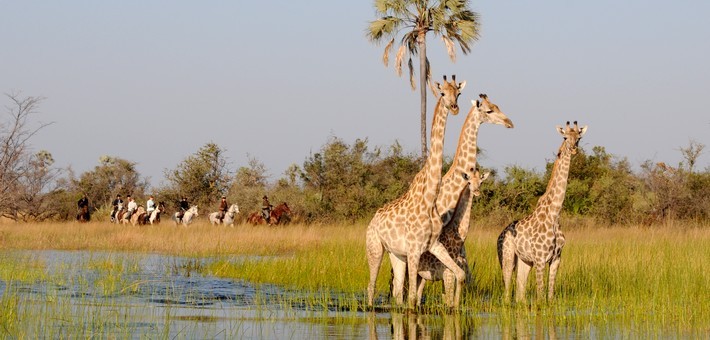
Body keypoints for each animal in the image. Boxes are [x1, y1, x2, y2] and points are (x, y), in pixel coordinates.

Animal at [368, 75, 472, 310]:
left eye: (459, 93)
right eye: (442, 92)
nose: (454, 107)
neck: (430, 198)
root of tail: (372, 219)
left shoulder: (432, 245)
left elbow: (460, 275)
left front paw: (455, 308)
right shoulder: (415, 250)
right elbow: (414, 299)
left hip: (396, 255)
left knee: (397, 292)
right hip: (375, 248)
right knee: (371, 287)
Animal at [496, 119, 588, 302]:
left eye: (579, 137)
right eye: (565, 137)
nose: (574, 149)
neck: (554, 215)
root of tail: (499, 235)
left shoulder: (556, 259)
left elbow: (550, 295)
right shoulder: (540, 259)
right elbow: (540, 296)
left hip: (524, 261)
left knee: (520, 293)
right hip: (507, 257)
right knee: (507, 292)